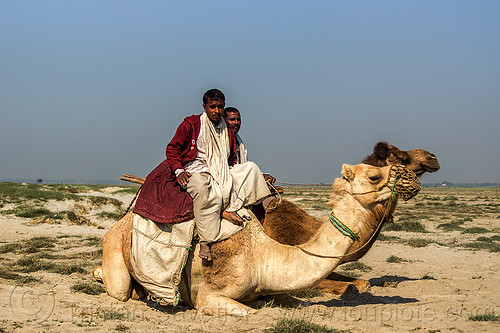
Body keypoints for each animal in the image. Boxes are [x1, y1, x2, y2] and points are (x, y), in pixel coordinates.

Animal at [94, 162, 422, 316]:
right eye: (375, 176)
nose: (411, 176)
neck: (263, 254)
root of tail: (120, 221)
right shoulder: (210, 295)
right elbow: (248, 312)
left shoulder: (276, 288)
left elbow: (296, 302)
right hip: (115, 250)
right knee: (118, 289)